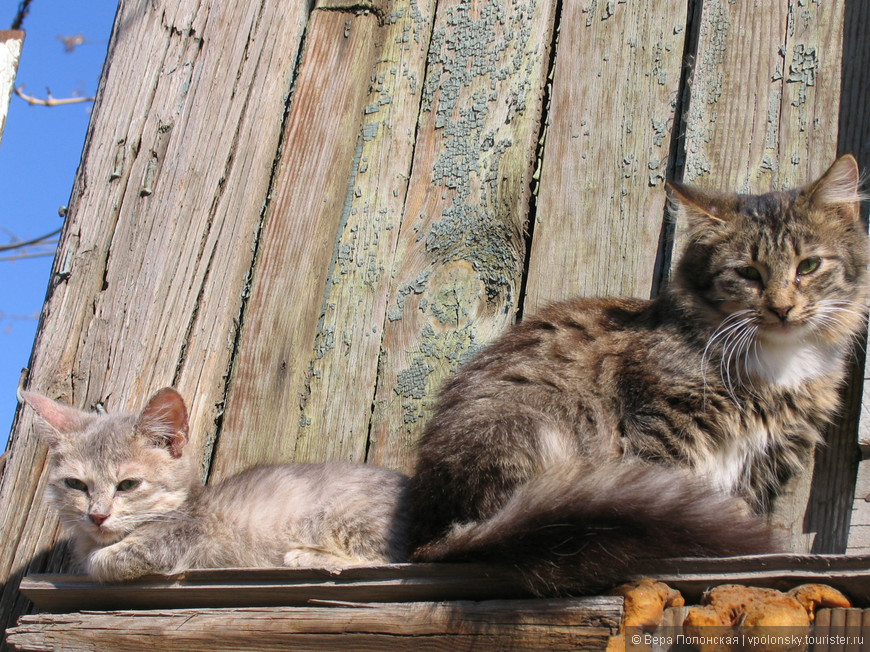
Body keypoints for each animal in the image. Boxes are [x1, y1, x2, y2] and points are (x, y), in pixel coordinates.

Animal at [23, 388, 412, 580]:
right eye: (76, 484)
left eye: (128, 484)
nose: (97, 516)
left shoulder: (179, 543)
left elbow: (102, 561)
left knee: (391, 560)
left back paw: (305, 555)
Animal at [410, 157, 870, 596]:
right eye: (749, 274)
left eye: (808, 266)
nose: (782, 308)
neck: (777, 365)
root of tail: (434, 534)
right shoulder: (662, 422)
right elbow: (679, 485)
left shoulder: (767, 455)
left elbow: (741, 500)